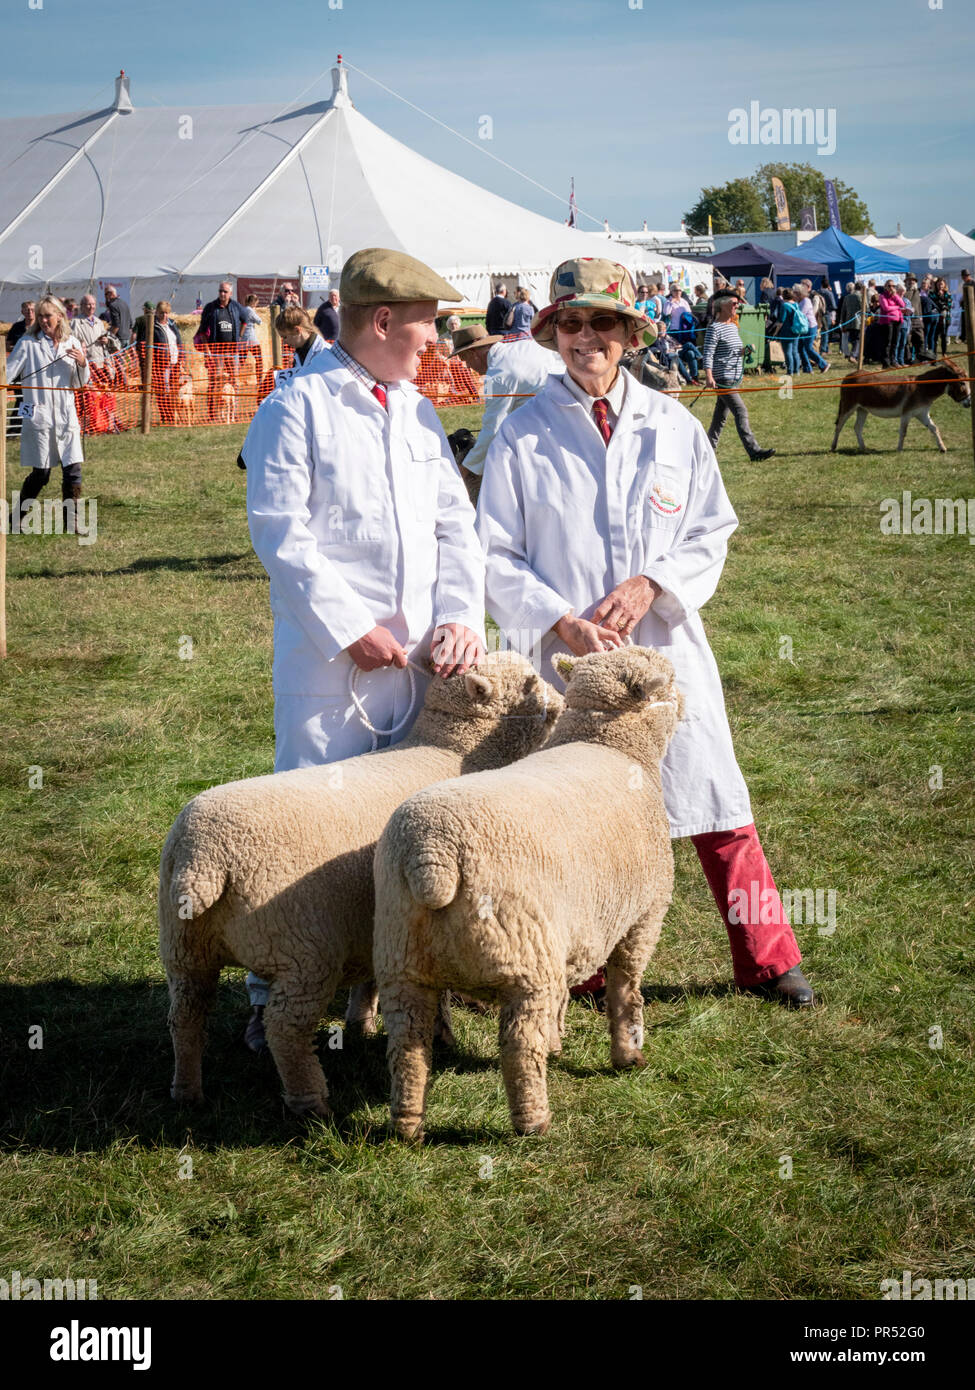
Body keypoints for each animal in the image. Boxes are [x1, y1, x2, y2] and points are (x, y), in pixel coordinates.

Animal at [155, 650, 559, 1117]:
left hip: (184, 947)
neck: (449, 750)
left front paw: (362, 1021)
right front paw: (441, 1034)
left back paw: (186, 1092)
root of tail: (202, 857)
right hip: (302, 951)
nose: (562, 700)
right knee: (283, 1028)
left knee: (185, 1016)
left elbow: (373, 979)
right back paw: (311, 1103)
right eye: (529, 682)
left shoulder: (378, 922)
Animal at [375, 644, 681, 1134]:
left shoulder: (569, 933)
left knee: (407, 1046)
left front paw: (558, 1041)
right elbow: (625, 989)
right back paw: (533, 1121)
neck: (610, 746)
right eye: (668, 681)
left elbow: (567, 997)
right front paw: (628, 1055)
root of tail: (432, 857)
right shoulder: (643, 916)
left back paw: (408, 1125)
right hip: (523, 960)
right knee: (518, 1046)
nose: (686, 702)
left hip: (401, 960)